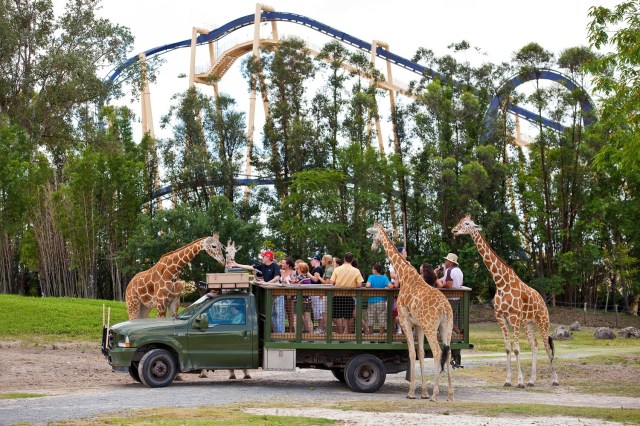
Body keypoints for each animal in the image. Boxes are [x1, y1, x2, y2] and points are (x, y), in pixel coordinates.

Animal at [367, 222, 454, 401]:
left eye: (373, 234)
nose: (373, 247)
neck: (405, 275)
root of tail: (445, 308)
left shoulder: (405, 320)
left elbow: (412, 353)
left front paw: (412, 392)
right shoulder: (418, 325)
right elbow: (420, 352)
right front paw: (423, 392)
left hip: (431, 327)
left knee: (437, 351)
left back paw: (436, 394)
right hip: (446, 326)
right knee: (447, 352)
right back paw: (450, 394)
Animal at [451, 215, 559, 387]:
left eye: (467, 223)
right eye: (460, 222)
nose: (454, 230)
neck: (501, 282)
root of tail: (543, 300)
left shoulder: (513, 317)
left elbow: (516, 349)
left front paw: (519, 382)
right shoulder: (501, 317)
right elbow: (508, 349)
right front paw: (508, 380)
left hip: (542, 320)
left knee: (547, 346)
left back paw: (555, 380)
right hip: (527, 323)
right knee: (534, 344)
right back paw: (532, 381)